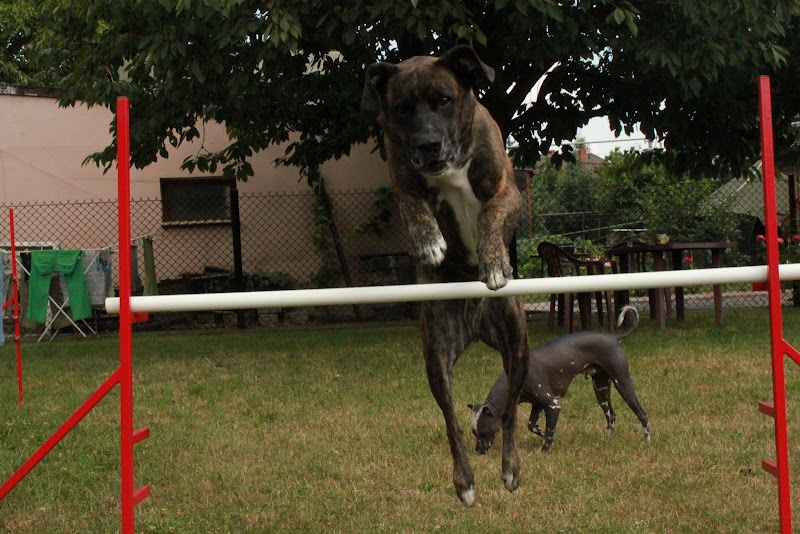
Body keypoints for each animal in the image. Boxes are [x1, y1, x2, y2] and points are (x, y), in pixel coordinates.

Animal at [361, 45, 529, 506]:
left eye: (444, 100)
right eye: (402, 109)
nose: (427, 143)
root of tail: (473, 322)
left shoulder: (508, 189)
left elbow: (490, 213)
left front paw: (493, 261)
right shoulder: (401, 179)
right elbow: (412, 203)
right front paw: (429, 242)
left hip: (518, 346)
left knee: (510, 413)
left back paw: (510, 468)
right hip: (436, 356)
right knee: (452, 420)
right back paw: (465, 481)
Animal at [469, 306, 649, 453]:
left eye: (483, 431)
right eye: (474, 433)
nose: (478, 452)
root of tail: (614, 338)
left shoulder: (553, 405)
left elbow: (549, 433)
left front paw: (544, 450)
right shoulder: (538, 404)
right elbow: (532, 425)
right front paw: (543, 434)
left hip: (622, 383)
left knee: (642, 413)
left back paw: (647, 439)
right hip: (601, 388)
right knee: (611, 415)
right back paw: (607, 439)